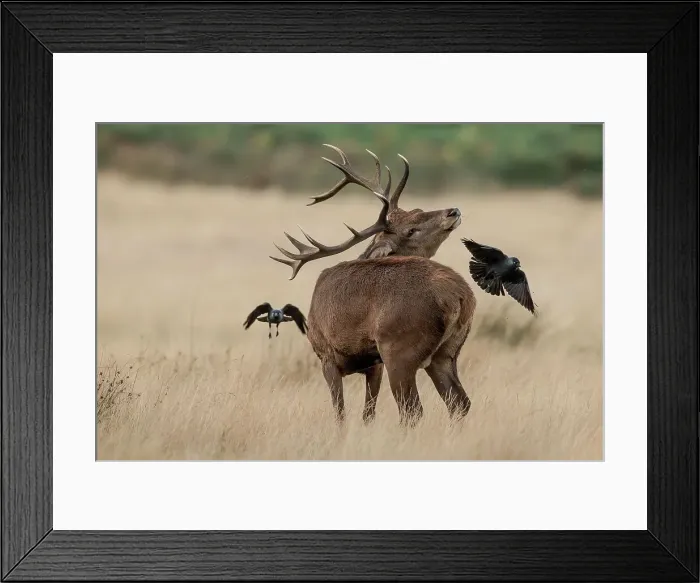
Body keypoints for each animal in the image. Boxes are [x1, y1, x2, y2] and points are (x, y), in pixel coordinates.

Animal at [270, 145, 477, 427]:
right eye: (412, 225)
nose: (452, 211)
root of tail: (461, 297)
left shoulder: (326, 354)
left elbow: (340, 413)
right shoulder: (373, 365)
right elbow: (367, 414)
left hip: (400, 347)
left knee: (413, 410)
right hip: (447, 352)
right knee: (459, 403)